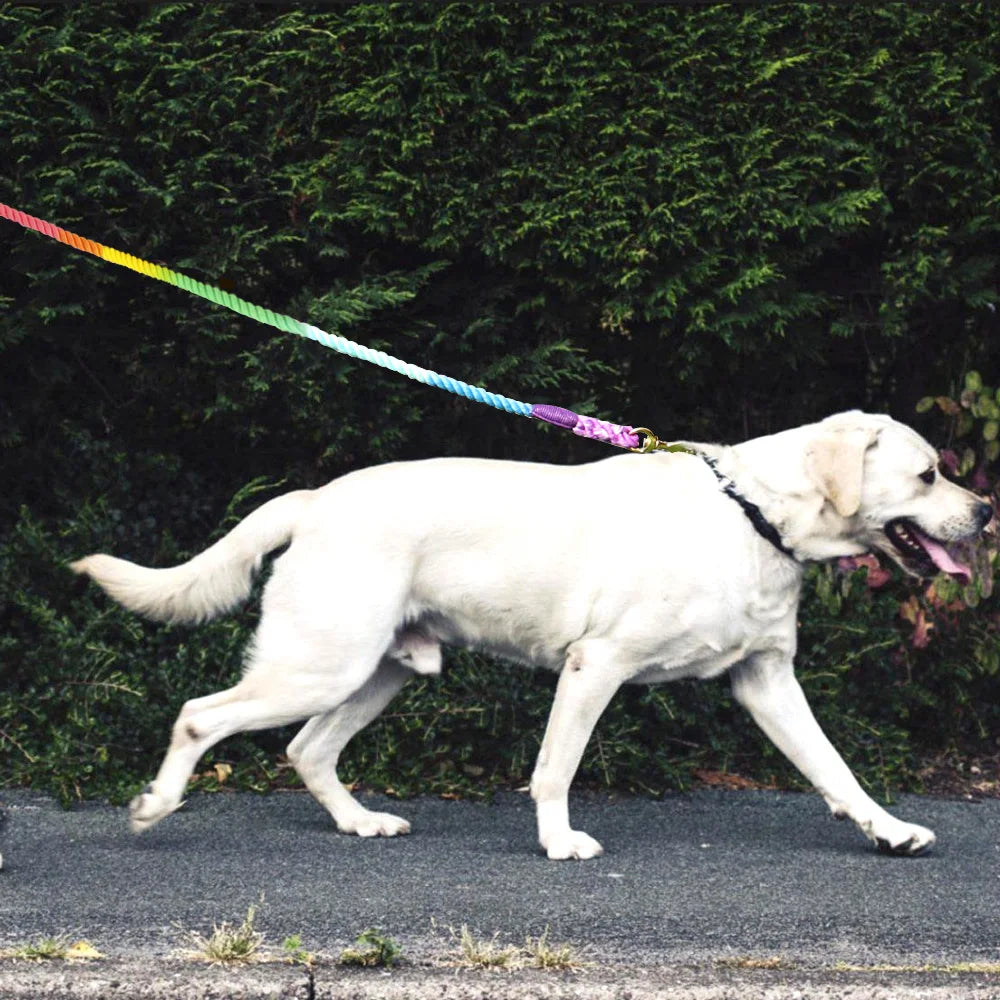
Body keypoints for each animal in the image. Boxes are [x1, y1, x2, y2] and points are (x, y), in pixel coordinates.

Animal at [72, 410, 992, 856]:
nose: (985, 511)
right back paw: (155, 806)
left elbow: (836, 770)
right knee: (200, 715)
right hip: (319, 663)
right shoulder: (595, 666)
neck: (753, 513)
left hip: (377, 672)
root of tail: (314, 498)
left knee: (308, 750)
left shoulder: (766, 680)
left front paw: (889, 831)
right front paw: (558, 843)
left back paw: (360, 824)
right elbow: (554, 770)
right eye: (927, 474)